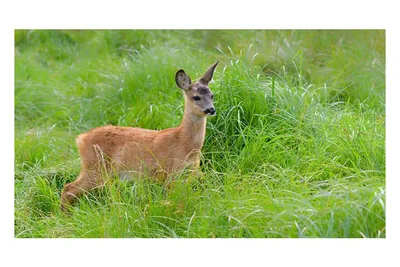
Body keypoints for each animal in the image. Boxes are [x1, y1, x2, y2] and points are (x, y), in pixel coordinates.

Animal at [60, 61, 219, 213]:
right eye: (196, 97)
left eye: (212, 95)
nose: (211, 109)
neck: (184, 142)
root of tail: (81, 139)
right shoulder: (171, 172)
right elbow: (173, 200)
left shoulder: (188, 174)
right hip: (95, 167)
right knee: (69, 188)